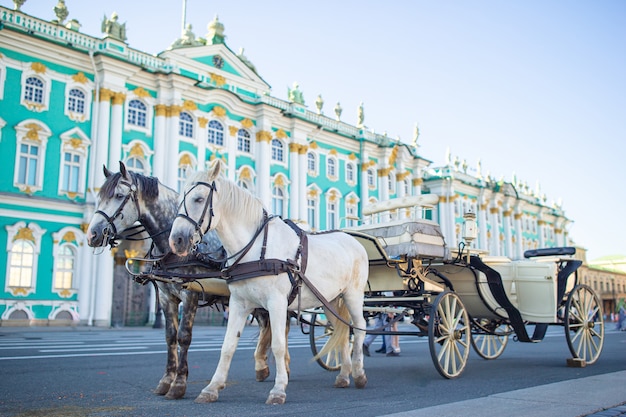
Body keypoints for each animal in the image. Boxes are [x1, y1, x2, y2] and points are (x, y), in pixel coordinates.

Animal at [168, 159, 368, 404]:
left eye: (198, 198)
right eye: (180, 199)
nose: (176, 240)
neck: (255, 248)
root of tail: (353, 240)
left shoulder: (277, 303)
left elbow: (279, 345)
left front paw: (278, 389)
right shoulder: (238, 304)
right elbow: (228, 346)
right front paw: (212, 388)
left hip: (353, 296)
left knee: (359, 328)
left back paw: (359, 373)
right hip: (330, 301)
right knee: (342, 330)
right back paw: (343, 375)